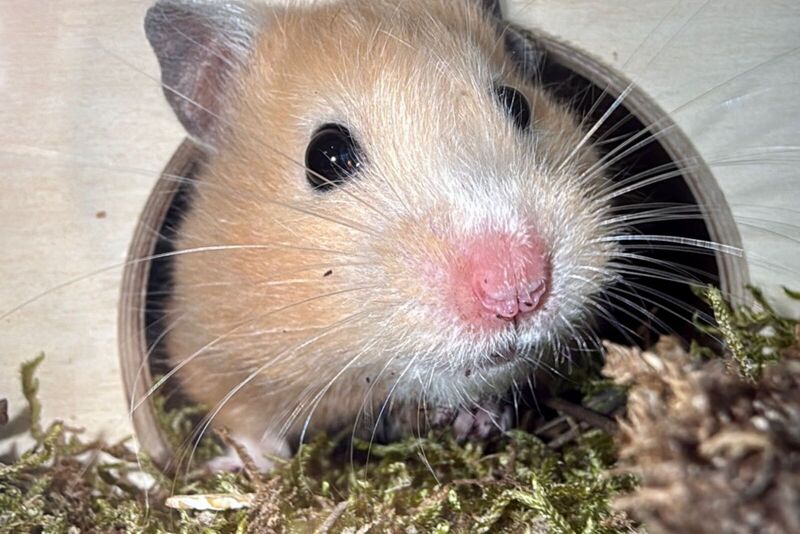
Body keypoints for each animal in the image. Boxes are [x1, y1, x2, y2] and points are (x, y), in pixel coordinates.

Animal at [145, 0, 616, 470]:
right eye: (326, 155)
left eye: (518, 104)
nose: (516, 291)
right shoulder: (203, 344)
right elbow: (243, 420)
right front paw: (249, 467)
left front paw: (479, 418)